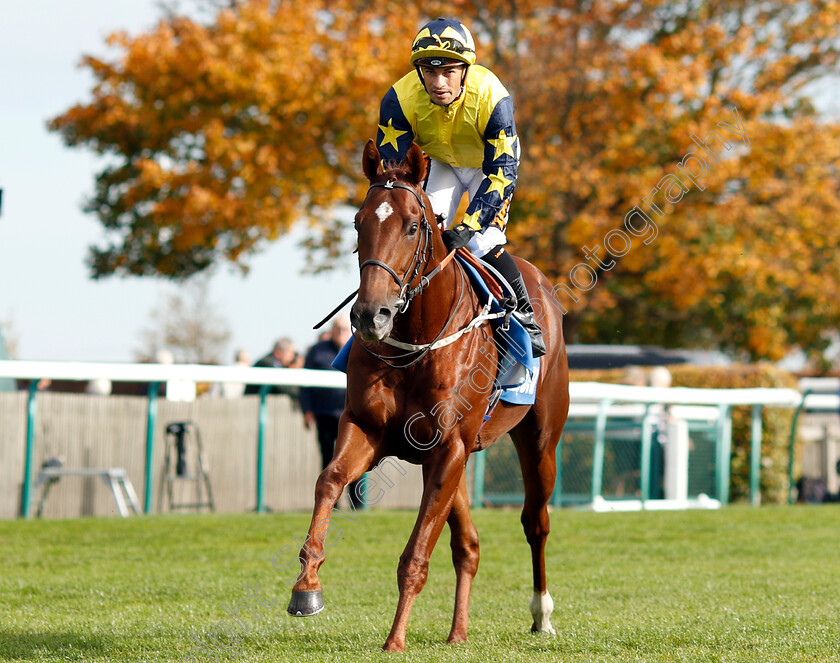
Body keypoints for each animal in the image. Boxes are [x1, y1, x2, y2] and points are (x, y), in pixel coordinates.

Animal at [288, 140, 572, 652]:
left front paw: (394, 640)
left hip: (539, 439)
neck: (418, 339)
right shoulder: (370, 429)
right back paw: (458, 632)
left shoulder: (449, 447)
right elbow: (329, 481)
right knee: (469, 544)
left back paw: (541, 614)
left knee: (534, 522)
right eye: (358, 222)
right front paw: (307, 587)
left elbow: (416, 554)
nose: (371, 315)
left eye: (413, 225)